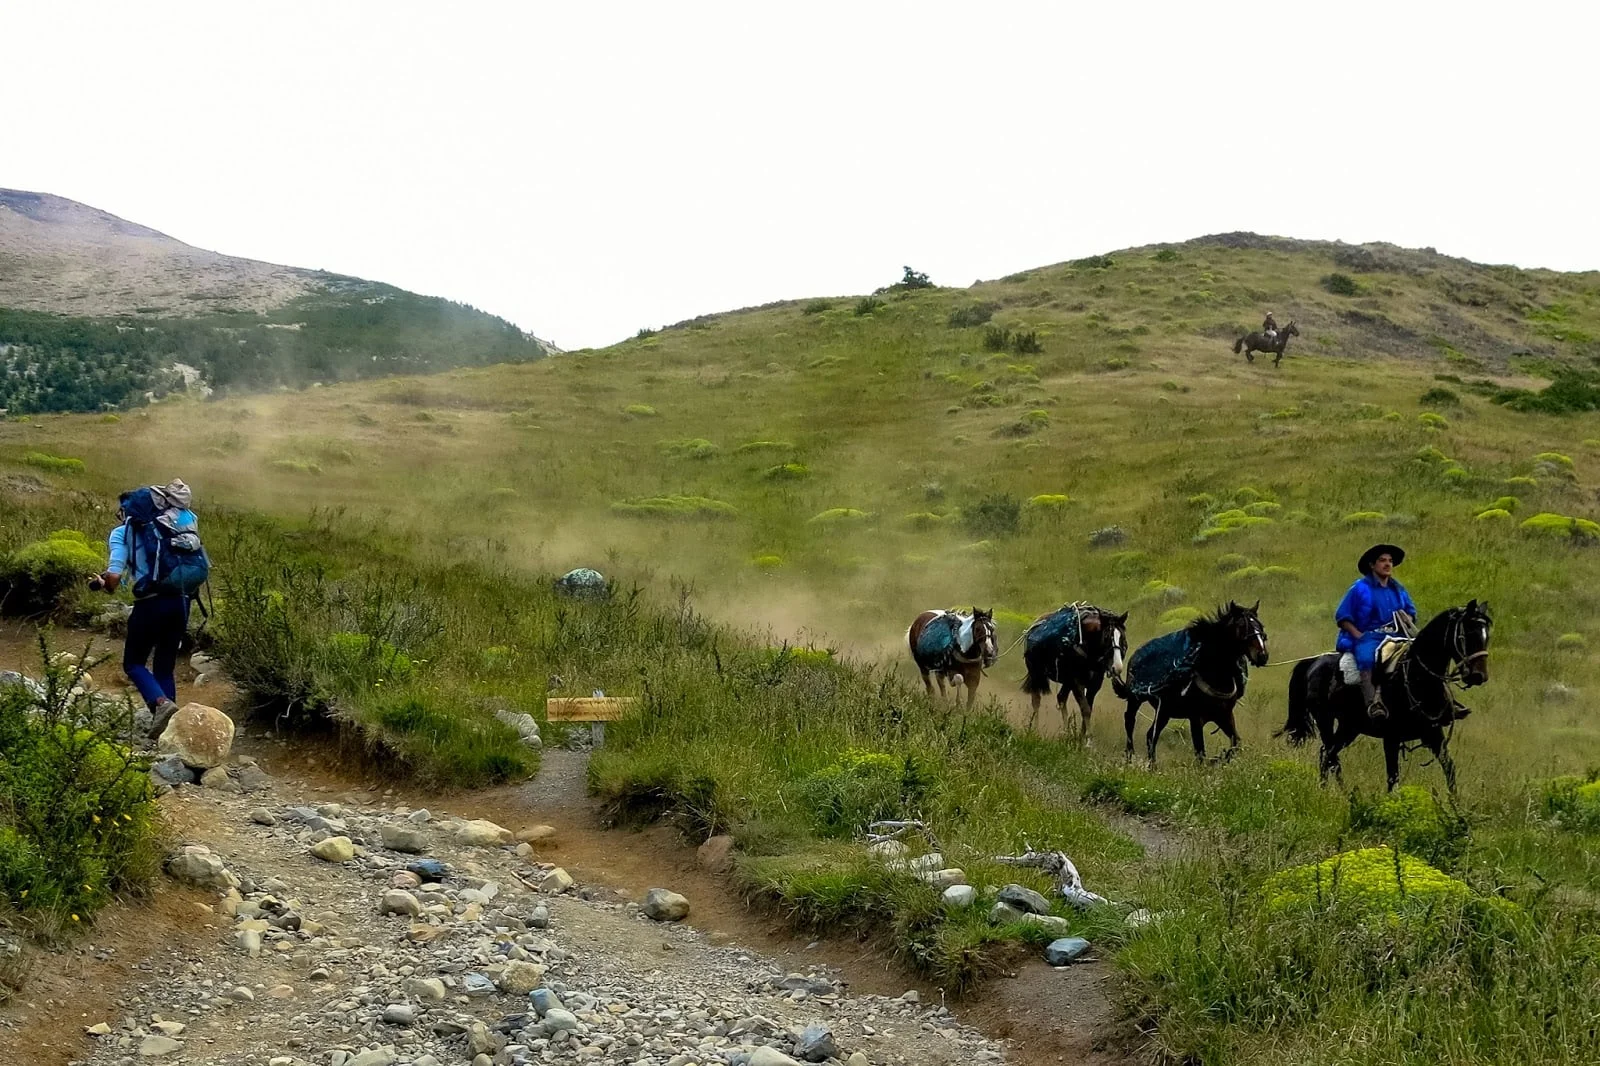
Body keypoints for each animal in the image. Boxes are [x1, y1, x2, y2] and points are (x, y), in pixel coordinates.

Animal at [1019, 603, 1128, 743]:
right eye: (1106, 638)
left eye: (1122, 637)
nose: (1117, 667)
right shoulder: (1077, 682)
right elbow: (1085, 708)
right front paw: (1088, 740)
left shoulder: (1094, 684)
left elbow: (1088, 708)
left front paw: (1082, 739)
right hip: (1036, 675)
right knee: (1036, 701)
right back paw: (1035, 730)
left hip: (1066, 681)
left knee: (1061, 698)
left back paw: (1066, 732)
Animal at [1116, 601, 1268, 764]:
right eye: (1241, 625)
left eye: (1260, 625)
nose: (1262, 655)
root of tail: (1135, 656)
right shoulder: (1196, 719)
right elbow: (1200, 752)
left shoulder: (1224, 715)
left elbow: (1236, 743)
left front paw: (1218, 759)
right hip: (1136, 700)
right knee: (1130, 721)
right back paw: (1130, 756)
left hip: (1164, 711)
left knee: (1151, 735)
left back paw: (1153, 766)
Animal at [1280, 600, 1491, 792]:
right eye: (1469, 634)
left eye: (1486, 636)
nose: (1478, 676)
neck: (1416, 678)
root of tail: (1314, 661)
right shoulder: (1391, 738)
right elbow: (1392, 779)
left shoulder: (1434, 735)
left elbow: (1449, 770)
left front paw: (1455, 807)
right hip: (1325, 719)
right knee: (1330, 756)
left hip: (1349, 727)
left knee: (1327, 754)